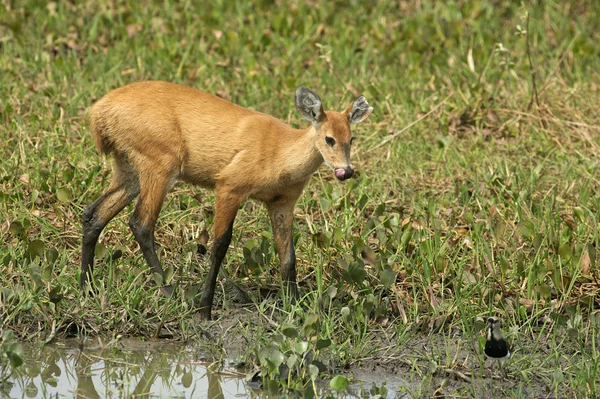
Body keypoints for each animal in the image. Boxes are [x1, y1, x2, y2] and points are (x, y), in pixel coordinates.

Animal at [79, 80, 370, 318]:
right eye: (329, 139)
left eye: (352, 138)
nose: (346, 171)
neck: (279, 153)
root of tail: (98, 112)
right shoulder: (229, 186)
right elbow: (219, 246)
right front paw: (205, 309)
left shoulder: (282, 203)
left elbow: (288, 257)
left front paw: (296, 308)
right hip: (160, 164)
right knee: (140, 224)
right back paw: (172, 294)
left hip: (128, 169)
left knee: (93, 214)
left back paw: (86, 288)